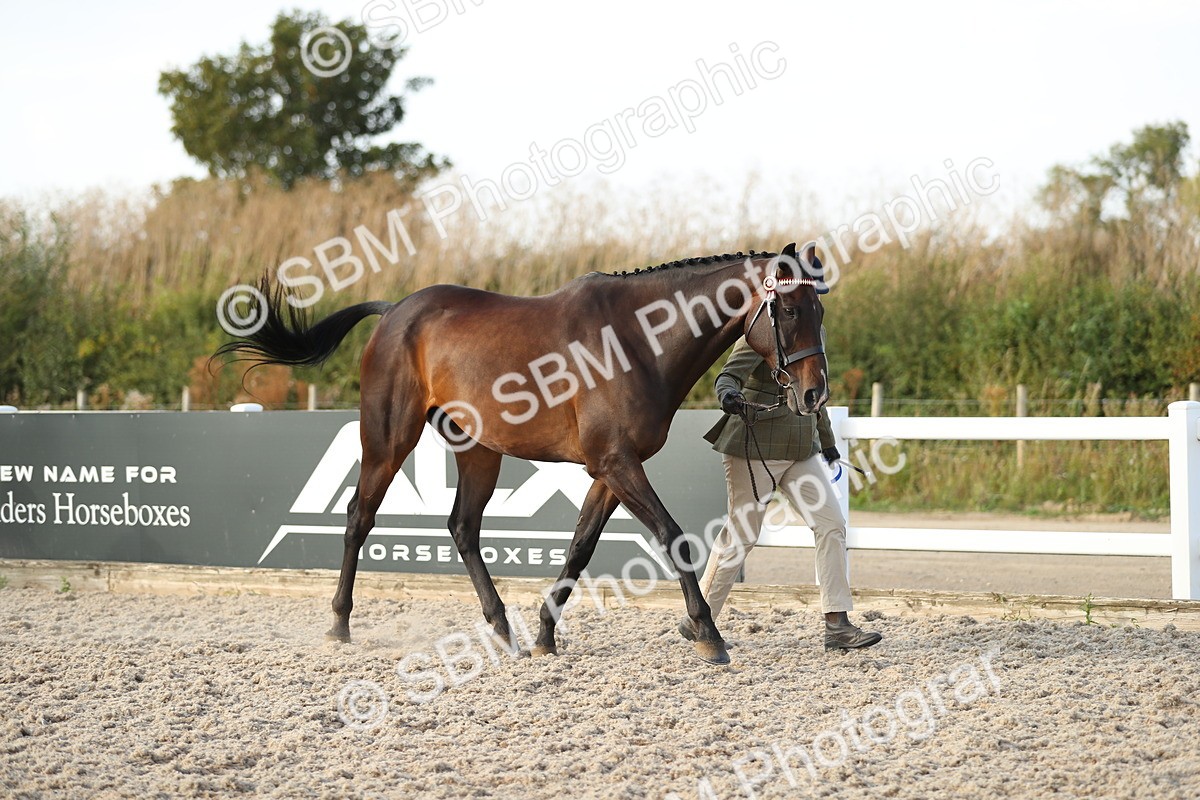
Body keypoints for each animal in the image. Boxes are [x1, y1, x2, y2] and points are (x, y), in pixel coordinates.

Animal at [216, 242, 830, 665]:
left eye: (818, 311)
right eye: (789, 311)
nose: (813, 394)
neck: (635, 340)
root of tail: (394, 312)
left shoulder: (609, 471)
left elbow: (580, 549)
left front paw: (544, 637)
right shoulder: (617, 464)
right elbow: (673, 538)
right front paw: (708, 635)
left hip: (478, 450)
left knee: (462, 526)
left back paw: (502, 630)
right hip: (388, 439)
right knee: (359, 517)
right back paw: (340, 626)